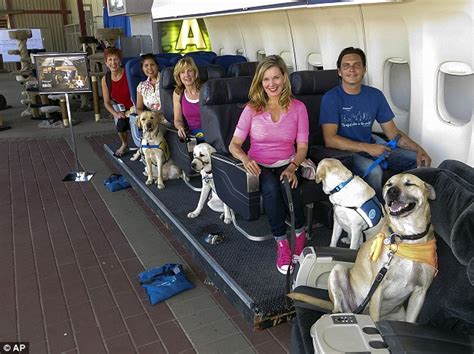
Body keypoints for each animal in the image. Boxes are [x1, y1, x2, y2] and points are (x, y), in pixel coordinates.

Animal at [326, 173, 436, 322]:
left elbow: (411, 320)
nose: (392, 191)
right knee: (338, 303)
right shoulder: (378, 288)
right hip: (338, 270)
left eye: (409, 184)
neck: (406, 237)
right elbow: (375, 320)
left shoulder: (420, 292)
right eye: (389, 184)